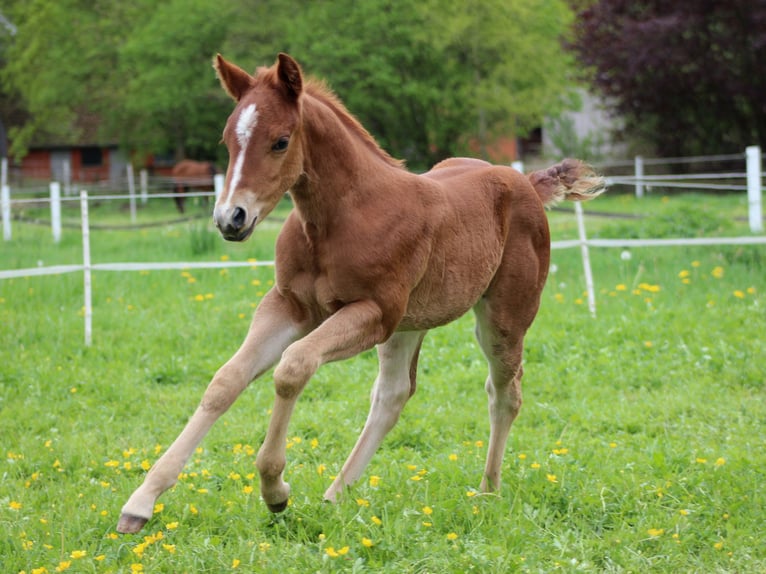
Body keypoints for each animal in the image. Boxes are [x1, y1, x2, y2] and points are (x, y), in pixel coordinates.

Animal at [117, 53, 605, 534]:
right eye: (227, 140)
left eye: (280, 141)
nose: (230, 219)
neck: (341, 217)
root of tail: (526, 183)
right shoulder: (288, 306)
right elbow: (225, 381)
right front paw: (141, 501)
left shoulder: (373, 312)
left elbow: (293, 368)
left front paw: (275, 489)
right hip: (410, 323)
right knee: (394, 395)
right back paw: (336, 496)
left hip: (502, 316)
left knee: (504, 392)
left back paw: (486, 494)